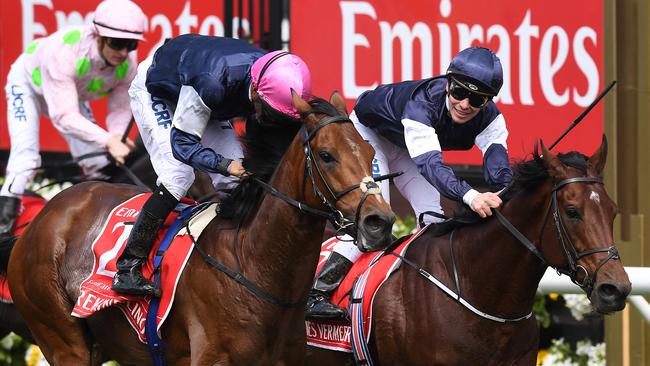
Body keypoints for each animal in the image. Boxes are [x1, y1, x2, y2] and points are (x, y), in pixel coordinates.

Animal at [2, 92, 392, 366]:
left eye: (370, 151)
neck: (254, 263)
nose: (380, 222)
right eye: (326, 155)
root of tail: (39, 221)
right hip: (63, 339)